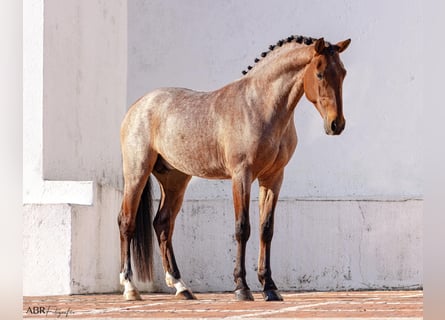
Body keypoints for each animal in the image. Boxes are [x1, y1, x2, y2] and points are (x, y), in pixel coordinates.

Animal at [117, 33, 350, 302]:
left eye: (343, 73)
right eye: (320, 73)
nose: (336, 124)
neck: (259, 105)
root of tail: (139, 105)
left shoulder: (273, 178)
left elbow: (266, 229)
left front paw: (270, 287)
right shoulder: (241, 175)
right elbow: (242, 228)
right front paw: (242, 287)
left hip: (175, 180)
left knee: (163, 224)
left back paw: (181, 286)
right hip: (137, 172)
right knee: (126, 222)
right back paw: (130, 287)